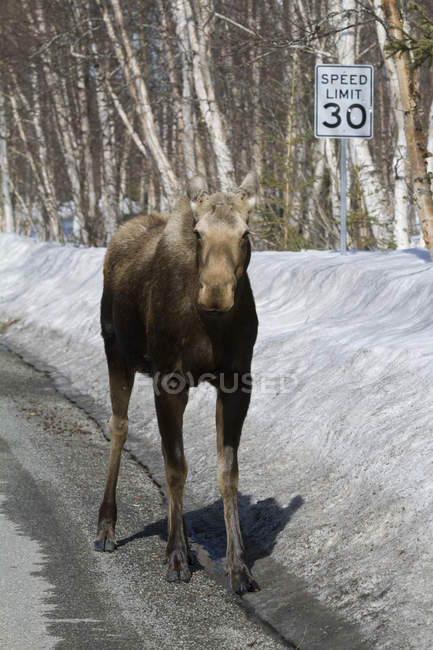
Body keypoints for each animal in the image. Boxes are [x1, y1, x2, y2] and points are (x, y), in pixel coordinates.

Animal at [93, 171, 260, 592]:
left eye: (245, 232)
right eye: (198, 233)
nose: (215, 292)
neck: (211, 327)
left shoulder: (237, 382)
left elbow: (227, 473)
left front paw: (239, 567)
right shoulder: (169, 381)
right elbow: (175, 468)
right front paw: (176, 556)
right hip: (115, 352)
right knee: (119, 426)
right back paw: (106, 527)